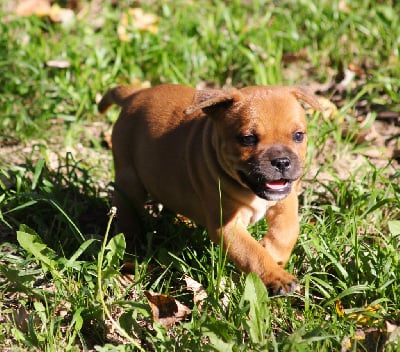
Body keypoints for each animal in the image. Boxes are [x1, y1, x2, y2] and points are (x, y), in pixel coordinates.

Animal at [98, 84, 320, 292]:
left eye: (298, 135)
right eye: (247, 139)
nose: (282, 161)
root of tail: (134, 94)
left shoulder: (286, 199)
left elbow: (288, 228)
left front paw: (274, 252)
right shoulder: (227, 226)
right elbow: (252, 253)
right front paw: (275, 275)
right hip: (129, 180)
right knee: (127, 215)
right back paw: (130, 248)